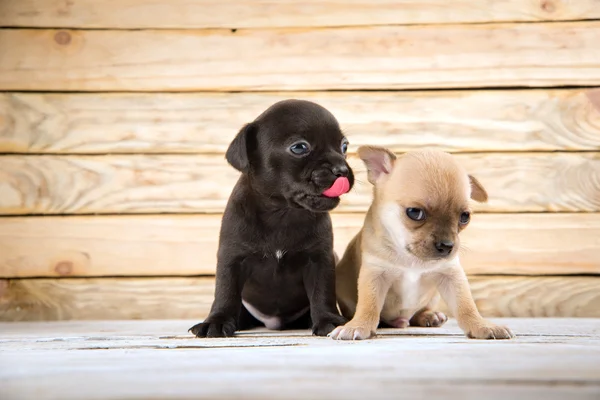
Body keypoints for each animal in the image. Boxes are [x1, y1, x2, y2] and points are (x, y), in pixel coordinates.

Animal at [330, 147, 512, 340]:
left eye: (465, 217)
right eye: (415, 212)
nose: (447, 245)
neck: (411, 258)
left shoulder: (451, 275)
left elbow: (466, 305)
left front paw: (482, 325)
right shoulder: (375, 274)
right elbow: (368, 305)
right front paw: (358, 325)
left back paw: (429, 316)